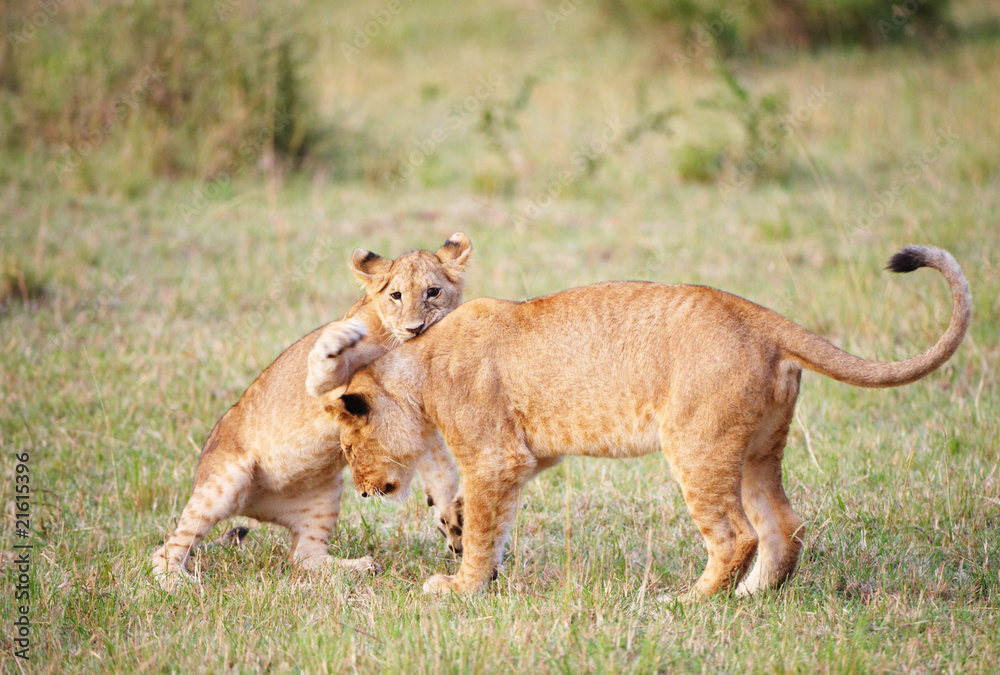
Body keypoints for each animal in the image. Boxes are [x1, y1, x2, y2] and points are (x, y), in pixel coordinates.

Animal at [151, 233, 472, 587]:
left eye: (433, 291)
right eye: (396, 296)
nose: (415, 328)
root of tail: (255, 508)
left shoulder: (413, 416)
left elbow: (441, 469)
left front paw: (453, 522)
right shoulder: (322, 386)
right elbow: (323, 359)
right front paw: (341, 337)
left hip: (325, 495)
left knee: (304, 558)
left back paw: (359, 566)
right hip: (223, 484)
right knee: (165, 549)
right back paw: (174, 581)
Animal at [323, 245, 970, 599]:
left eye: (349, 446)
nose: (363, 490)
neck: (418, 363)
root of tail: (759, 316)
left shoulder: (492, 456)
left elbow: (484, 529)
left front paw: (460, 588)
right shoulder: (524, 459)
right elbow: (491, 522)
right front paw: (470, 561)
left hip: (696, 444)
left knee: (737, 535)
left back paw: (690, 602)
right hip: (758, 447)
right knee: (784, 525)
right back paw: (752, 596)